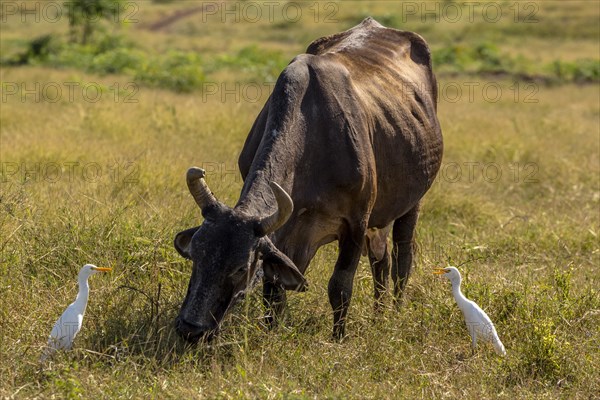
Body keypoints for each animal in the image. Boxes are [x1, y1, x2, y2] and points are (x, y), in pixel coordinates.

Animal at [172, 16, 440, 340]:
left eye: (239, 268)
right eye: (196, 256)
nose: (190, 328)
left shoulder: (356, 223)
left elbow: (340, 287)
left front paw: (338, 339)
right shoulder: (282, 236)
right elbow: (273, 291)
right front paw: (272, 332)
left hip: (412, 203)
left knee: (402, 260)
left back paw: (395, 313)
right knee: (382, 260)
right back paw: (378, 315)